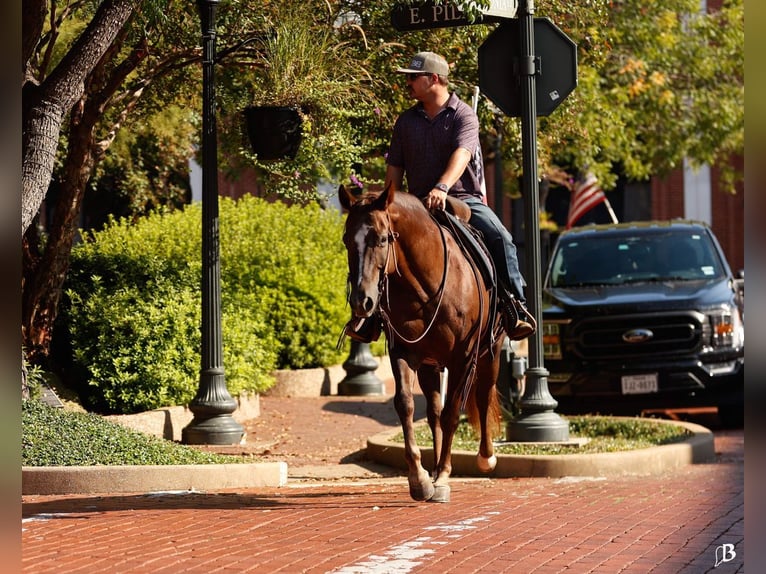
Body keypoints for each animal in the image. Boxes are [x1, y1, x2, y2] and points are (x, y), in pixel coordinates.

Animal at [339, 184, 506, 503]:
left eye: (382, 239)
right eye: (345, 240)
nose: (362, 301)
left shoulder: (463, 357)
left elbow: (454, 413)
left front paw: (442, 477)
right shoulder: (402, 353)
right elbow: (405, 404)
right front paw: (419, 478)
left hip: (490, 352)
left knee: (483, 394)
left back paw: (485, 457)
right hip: (431, 364)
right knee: (433, 413)